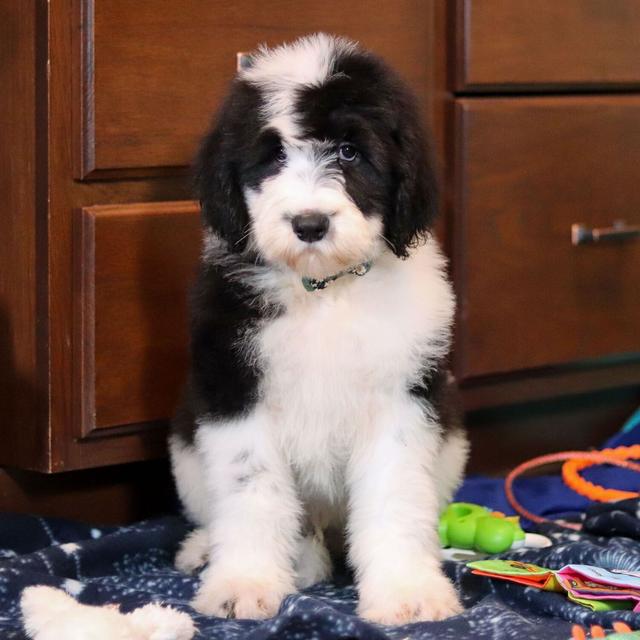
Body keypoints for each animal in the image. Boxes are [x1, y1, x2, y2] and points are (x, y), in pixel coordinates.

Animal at [170, 32, 470, 624]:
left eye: (350, 152)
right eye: (274, 155)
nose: (309, 224)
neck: (325, 289)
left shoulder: (402, 400)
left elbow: (395, 495)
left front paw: (406, 590)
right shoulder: (235, 388)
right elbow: (251, 490)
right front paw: (244, 582)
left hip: (451, 441)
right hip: (185, 442)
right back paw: (213, 551)